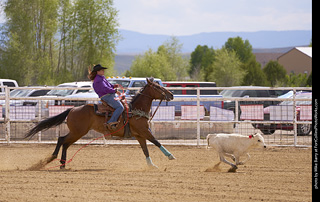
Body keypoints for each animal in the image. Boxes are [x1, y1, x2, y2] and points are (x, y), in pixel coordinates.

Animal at [25, 77, 175, 169]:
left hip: (76, 132)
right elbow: (156, 142)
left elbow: (145, 150)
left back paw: (62, 164)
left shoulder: (139, 135)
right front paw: (170, 156)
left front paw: (151, 165)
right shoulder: (144, 131)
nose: (171, 94)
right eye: (157, 87)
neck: (136, 111)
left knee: (65, 143)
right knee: (62, 140)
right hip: (78, 132)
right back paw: (54, 158)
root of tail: (72, 109)